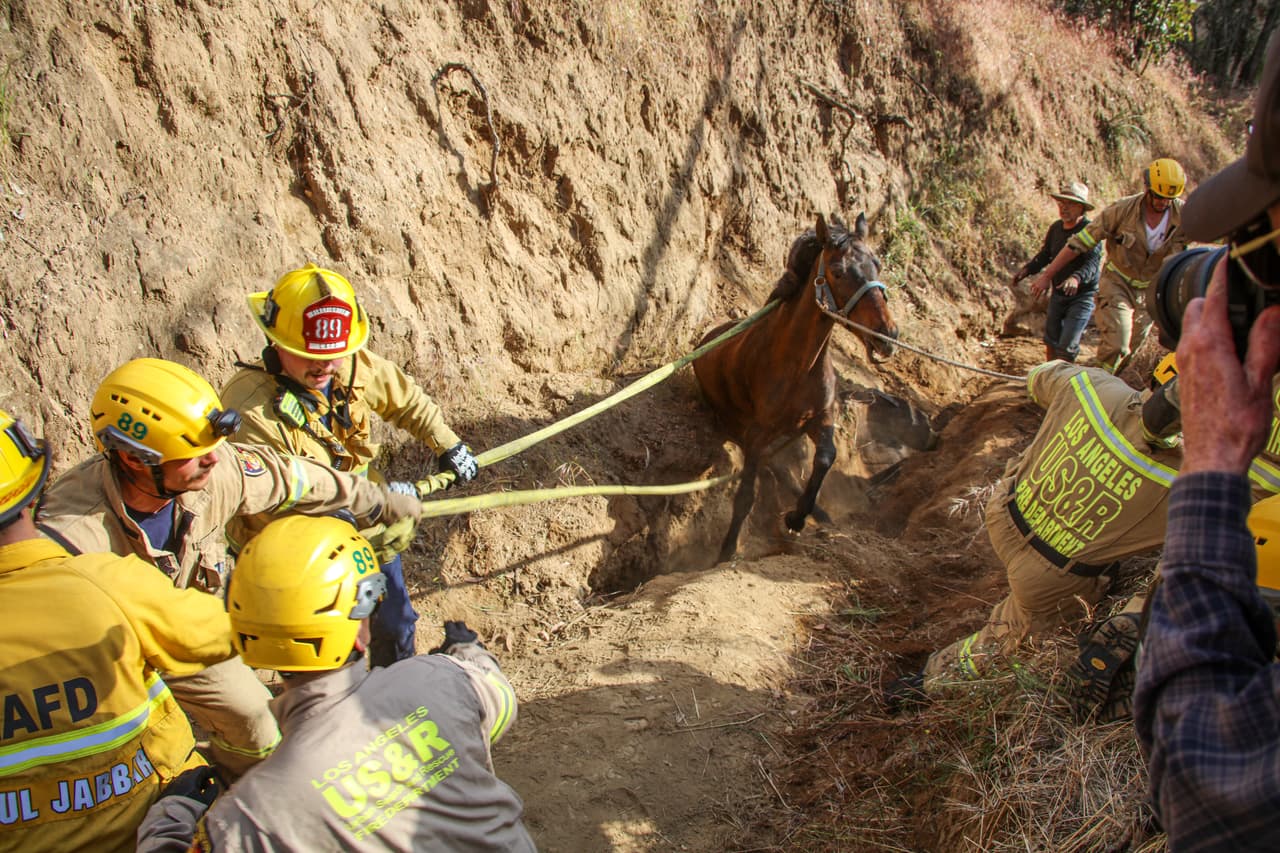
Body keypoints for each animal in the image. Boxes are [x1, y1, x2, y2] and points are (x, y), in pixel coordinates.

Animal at [693, 213, 899, 564]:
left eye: (877, 265)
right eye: (838, 271)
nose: (887, 335)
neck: (797, 366)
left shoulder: (820, 419)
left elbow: (826, 459)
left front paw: (797, 518)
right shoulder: (757, 433)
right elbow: (745, 496)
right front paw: (727, 553)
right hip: (736, 426)